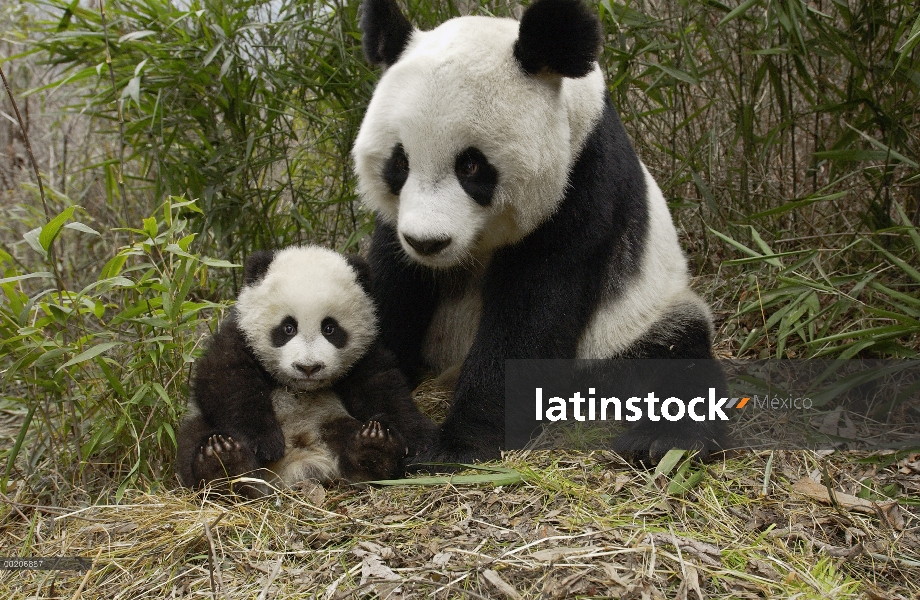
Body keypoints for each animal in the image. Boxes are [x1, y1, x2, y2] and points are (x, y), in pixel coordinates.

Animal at [180, 245, 438, 496]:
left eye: (330, 328)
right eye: (288, 327)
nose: (308, 367)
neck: (299, 388)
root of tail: (297, 466)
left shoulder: (365, 354)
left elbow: (383, 389)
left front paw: (420, 441)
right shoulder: (239, 336)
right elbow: (226, 380)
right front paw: (264, 443)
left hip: (329, 420)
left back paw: (373, 450)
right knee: (195, 436)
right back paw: (222, 464)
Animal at [352, 0, 724, 464]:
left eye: (470, 165)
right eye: (399, 163)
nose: (428, 243)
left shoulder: (582, 185)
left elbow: (533, 311)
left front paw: (457, 445)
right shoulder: (397, 226)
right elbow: (392, 286)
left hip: (635, 319)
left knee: (674, 354)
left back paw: (662, 440)